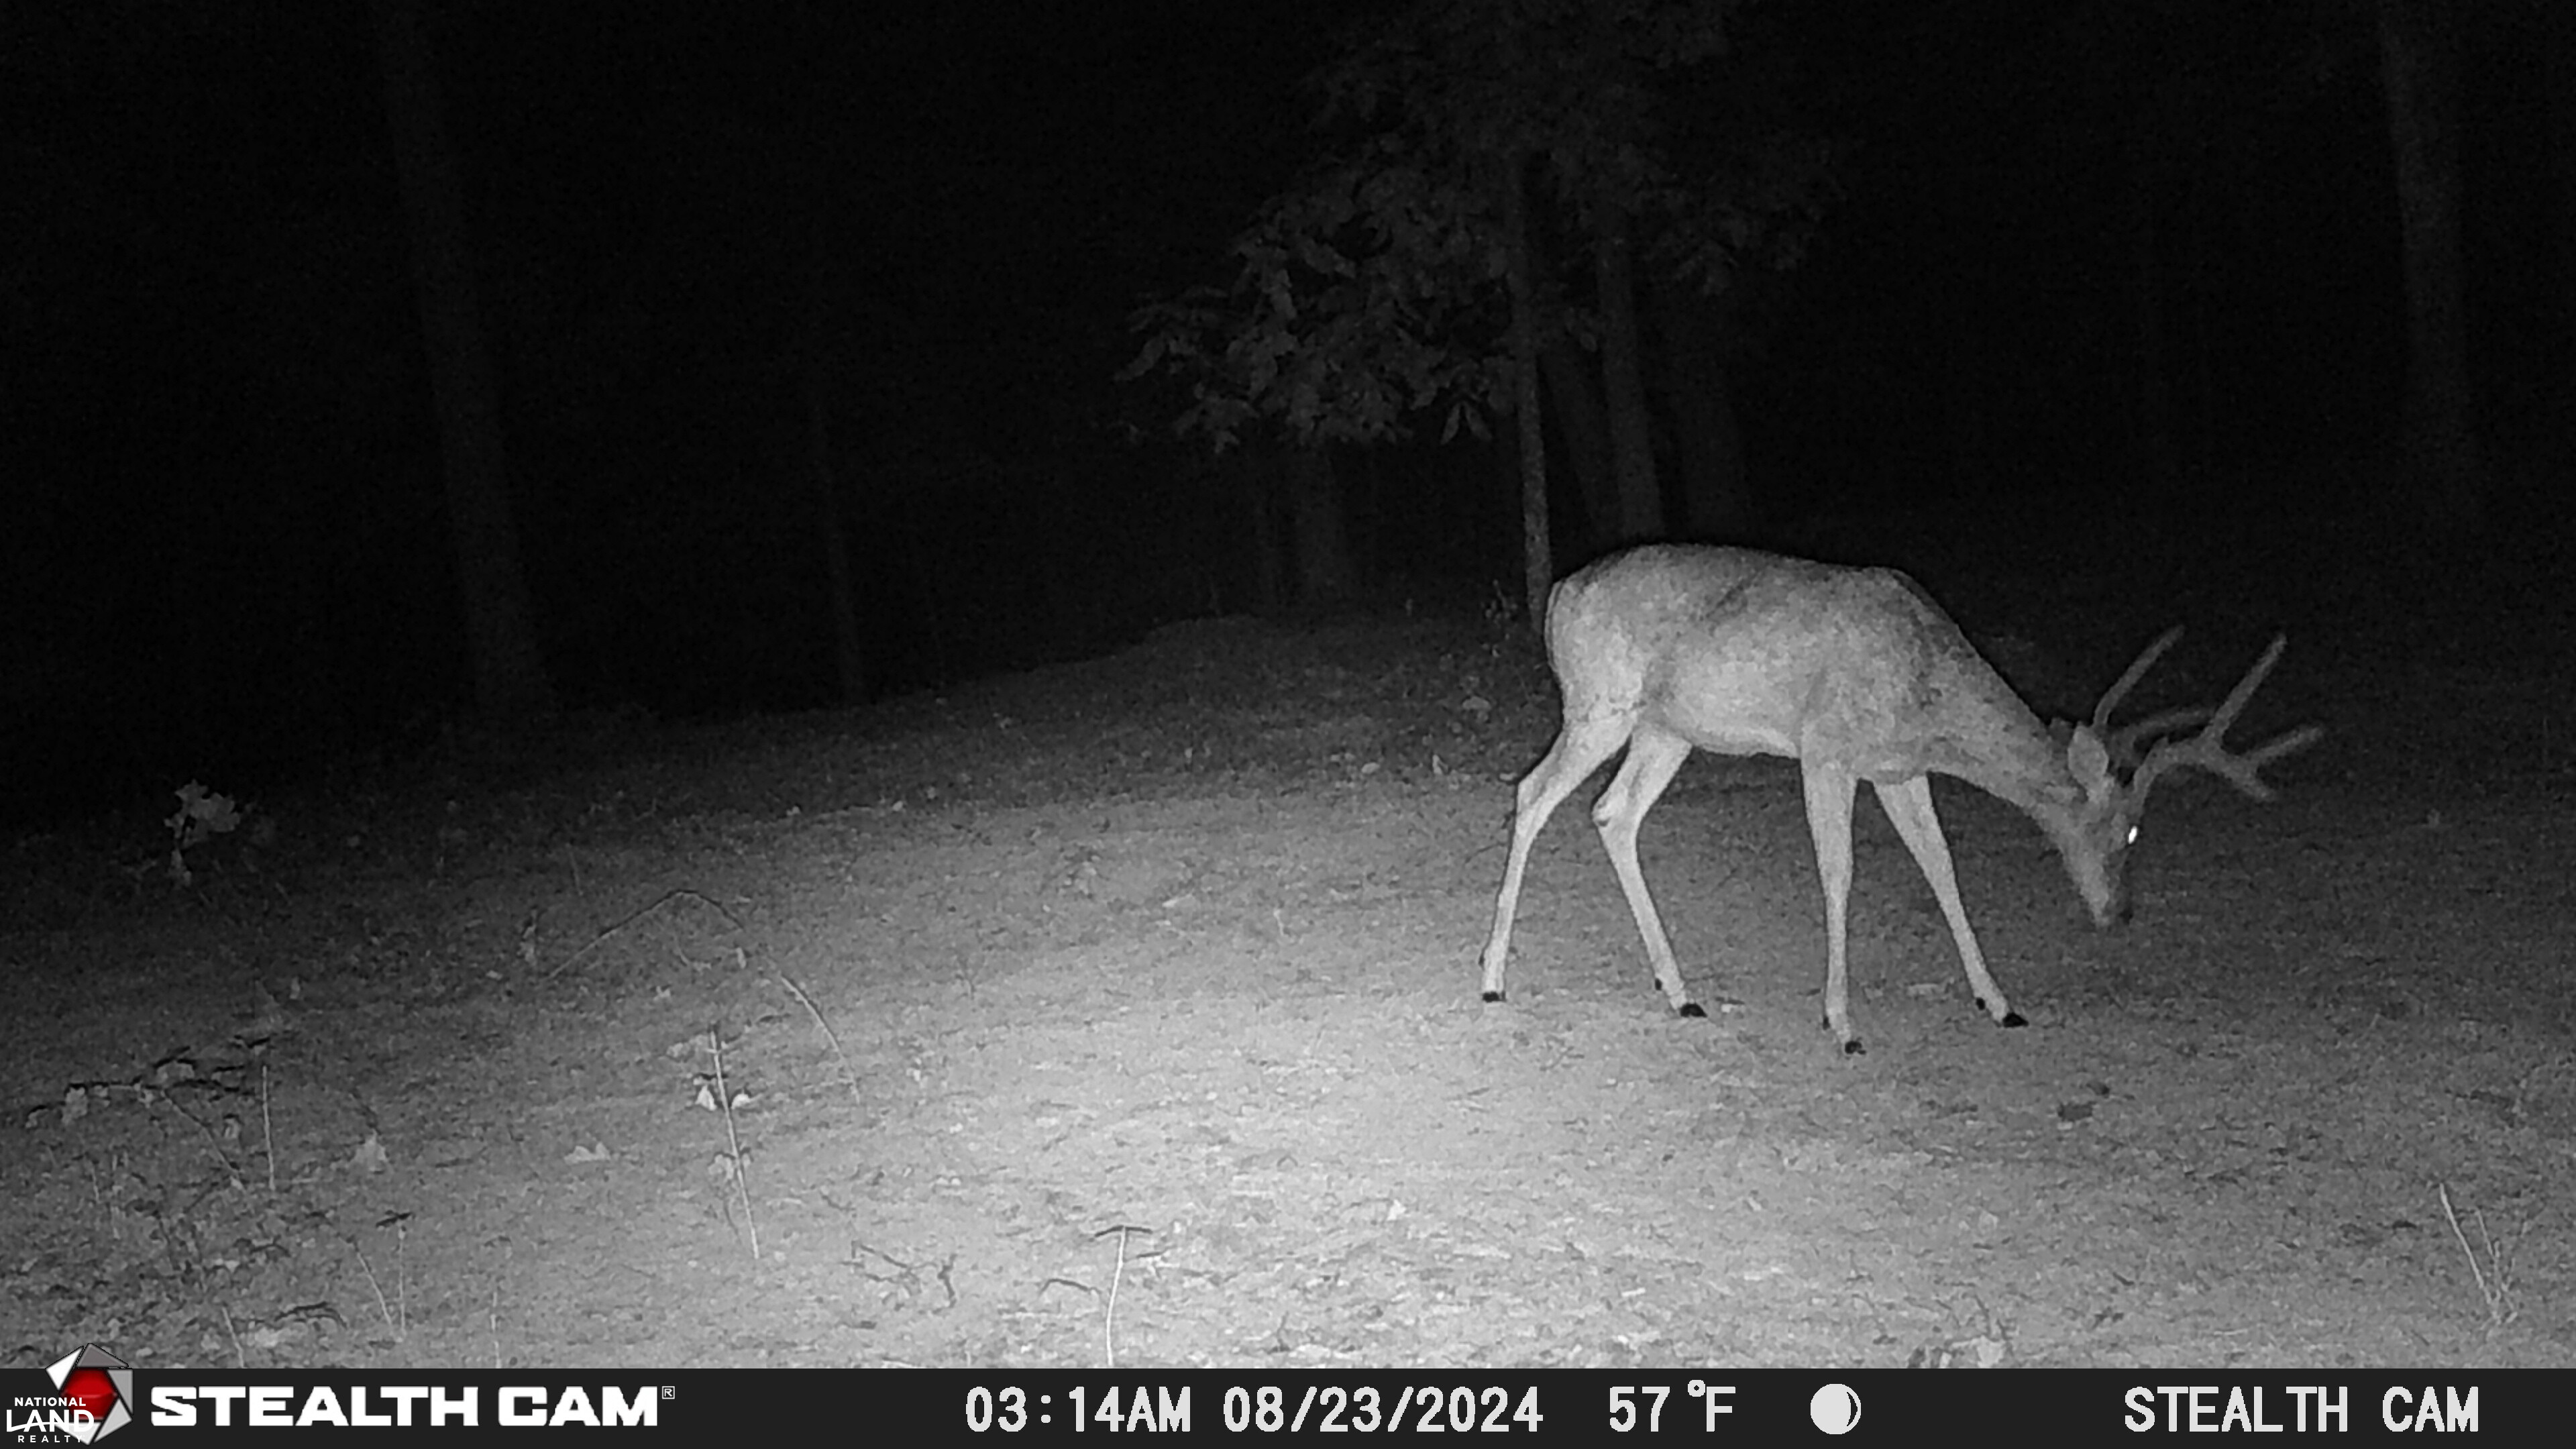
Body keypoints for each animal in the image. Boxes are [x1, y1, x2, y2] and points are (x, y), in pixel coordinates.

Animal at [1477, 544, 2321, 1054]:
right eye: (2133, 832)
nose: (2120, 913)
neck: (1927, 693)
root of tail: (1557, 594)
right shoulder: (1827, 749)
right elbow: (1840, 873)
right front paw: (1843, 1023)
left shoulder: (1898, 770)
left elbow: (1941, 866)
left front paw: (1999, 1001)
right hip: (1601, 704)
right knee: (1534, 792)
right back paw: (1492, 977)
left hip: (1667, 729)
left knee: (1612, 813)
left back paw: (1680, 991)